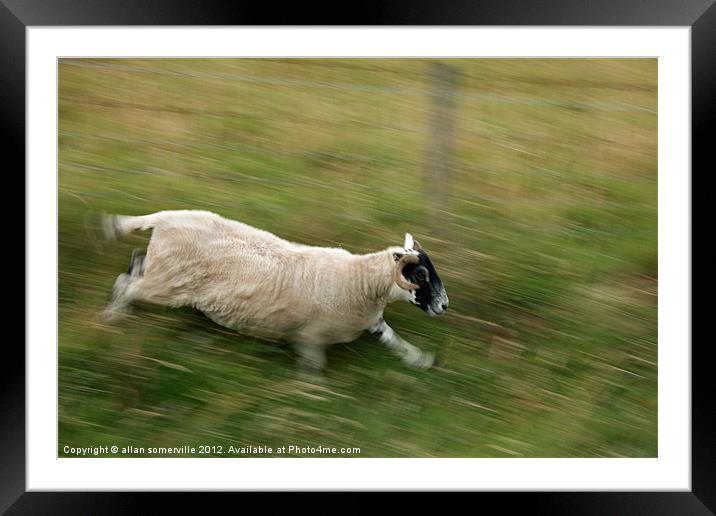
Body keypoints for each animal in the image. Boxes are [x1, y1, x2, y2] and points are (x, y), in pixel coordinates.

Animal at [100, 210, 448, 370]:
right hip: (166, 284)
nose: (444, 306)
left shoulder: (371, 323)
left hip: (159, 269)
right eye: (421, 274)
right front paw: (311, 394)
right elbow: (312, 366)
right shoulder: (313, 335)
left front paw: (420, 359)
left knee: (131, 269)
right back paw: (112, 316)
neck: (360, 280)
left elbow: (393, 339)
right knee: (128, 285)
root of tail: (164, 217)